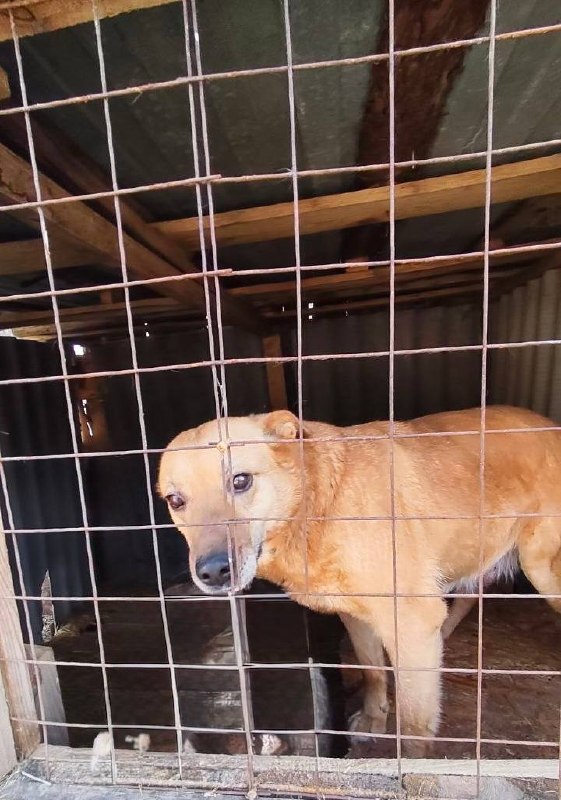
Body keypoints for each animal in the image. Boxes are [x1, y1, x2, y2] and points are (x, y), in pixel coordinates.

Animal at [158, 405, 561, 757]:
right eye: (176, 501)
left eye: (240, 481)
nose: (212, 571)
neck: (318, 508)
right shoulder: (357, 616)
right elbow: (373, 672)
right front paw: (374, 718)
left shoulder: (411, 622)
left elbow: (415, 726)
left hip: (540, 566)